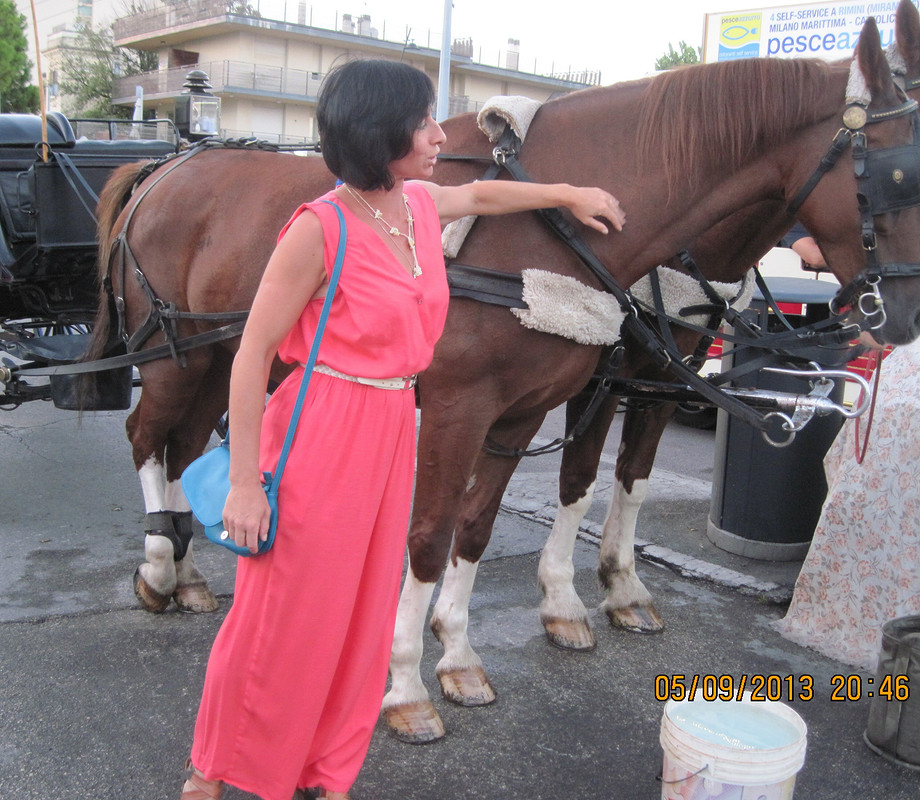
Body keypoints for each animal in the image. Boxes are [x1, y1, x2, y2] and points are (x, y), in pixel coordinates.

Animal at [88, 12, 920, 736]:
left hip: (219, 357)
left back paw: (187, 573)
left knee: (184, 445)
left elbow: (500, 520)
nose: (903, 316)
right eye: (899, 173)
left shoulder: (550, 406)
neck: (543, 233)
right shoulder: (475, 408)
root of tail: (167, 164)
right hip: (174, 354)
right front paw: (407, 684)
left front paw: (463, 651)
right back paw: (159, 567)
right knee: (144, 436)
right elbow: (435, 534)